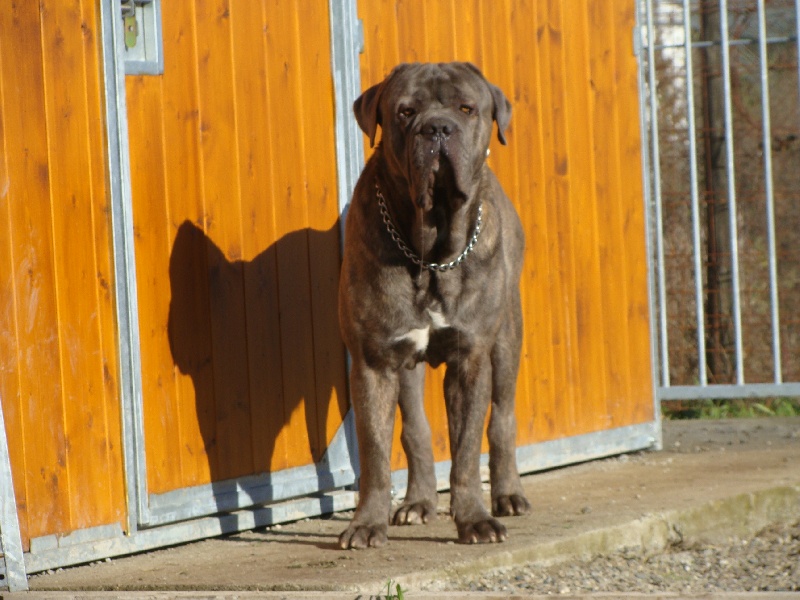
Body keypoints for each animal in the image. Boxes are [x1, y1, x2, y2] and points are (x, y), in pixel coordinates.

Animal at [338, 62, 532, 548]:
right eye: (406, 111)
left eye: (466, 108)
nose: (438, 128)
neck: (429, 252)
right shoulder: (374, 361)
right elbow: (375, 452)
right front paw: (367, 523)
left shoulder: (470, 359)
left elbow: (466, 450)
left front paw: (475, 520)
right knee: (416, 430)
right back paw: (418, 502)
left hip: (508, 338)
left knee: (502, 418)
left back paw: (509, 495)